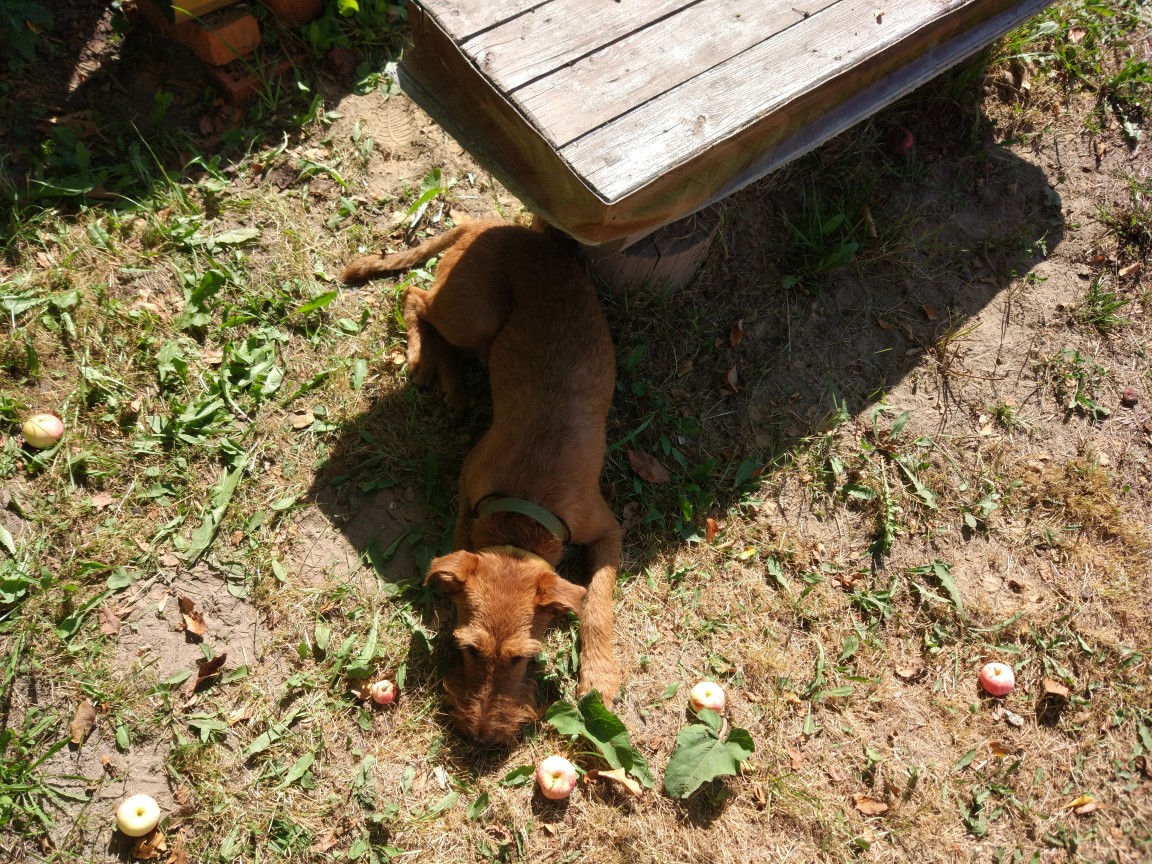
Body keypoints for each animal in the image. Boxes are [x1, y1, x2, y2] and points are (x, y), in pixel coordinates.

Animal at [342, 220, 622, 746]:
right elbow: (458, 544)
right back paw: (432, 366)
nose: (480, 738)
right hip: (474, 312)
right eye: (469, 649)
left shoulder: (608, 528)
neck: (525, 503)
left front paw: (598, 676)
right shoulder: (468, 486)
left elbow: (598, 604)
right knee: (415, 297)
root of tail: (486, 222)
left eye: (524, 658)